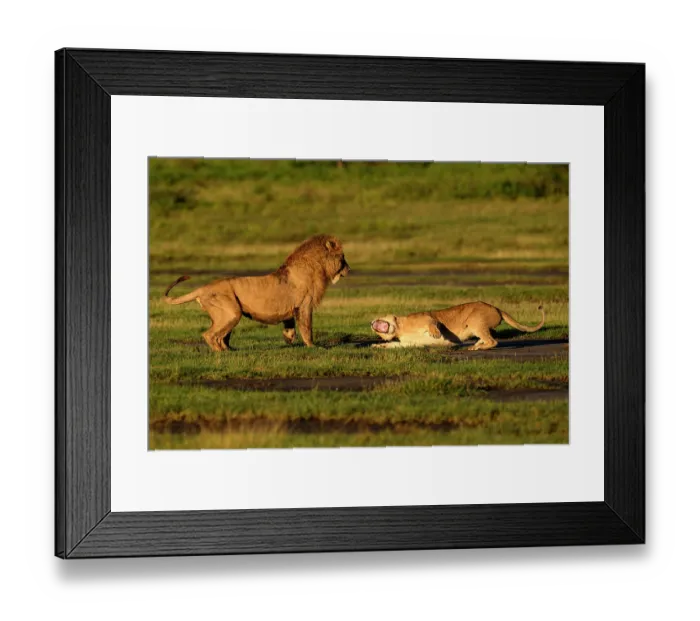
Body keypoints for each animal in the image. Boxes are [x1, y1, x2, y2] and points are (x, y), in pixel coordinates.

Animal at [163, 235, 350, 351]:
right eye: (342, 257)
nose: (349, 269)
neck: (319, 267)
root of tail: (203, 287)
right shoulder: (304, 305)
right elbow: (307, 328)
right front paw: (314, 347)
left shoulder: (291, 309)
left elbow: (290, 327)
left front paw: (289, 339)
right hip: (232, 312)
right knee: (209, 335)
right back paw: (221, 352)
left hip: (226, 314)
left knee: (222, 336)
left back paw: (230, 350)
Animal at [370, 301, 544, 350]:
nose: (371, 323)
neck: (399, 328)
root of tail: (496, 308)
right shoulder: (408, 342)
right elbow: (394, 345)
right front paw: (377, 346)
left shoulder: (425, 317)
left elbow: (432, 322)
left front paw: (435, 334)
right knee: (488, 338)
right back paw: (476, 345)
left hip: (475, 320)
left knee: (493, 341)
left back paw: (477, 347)